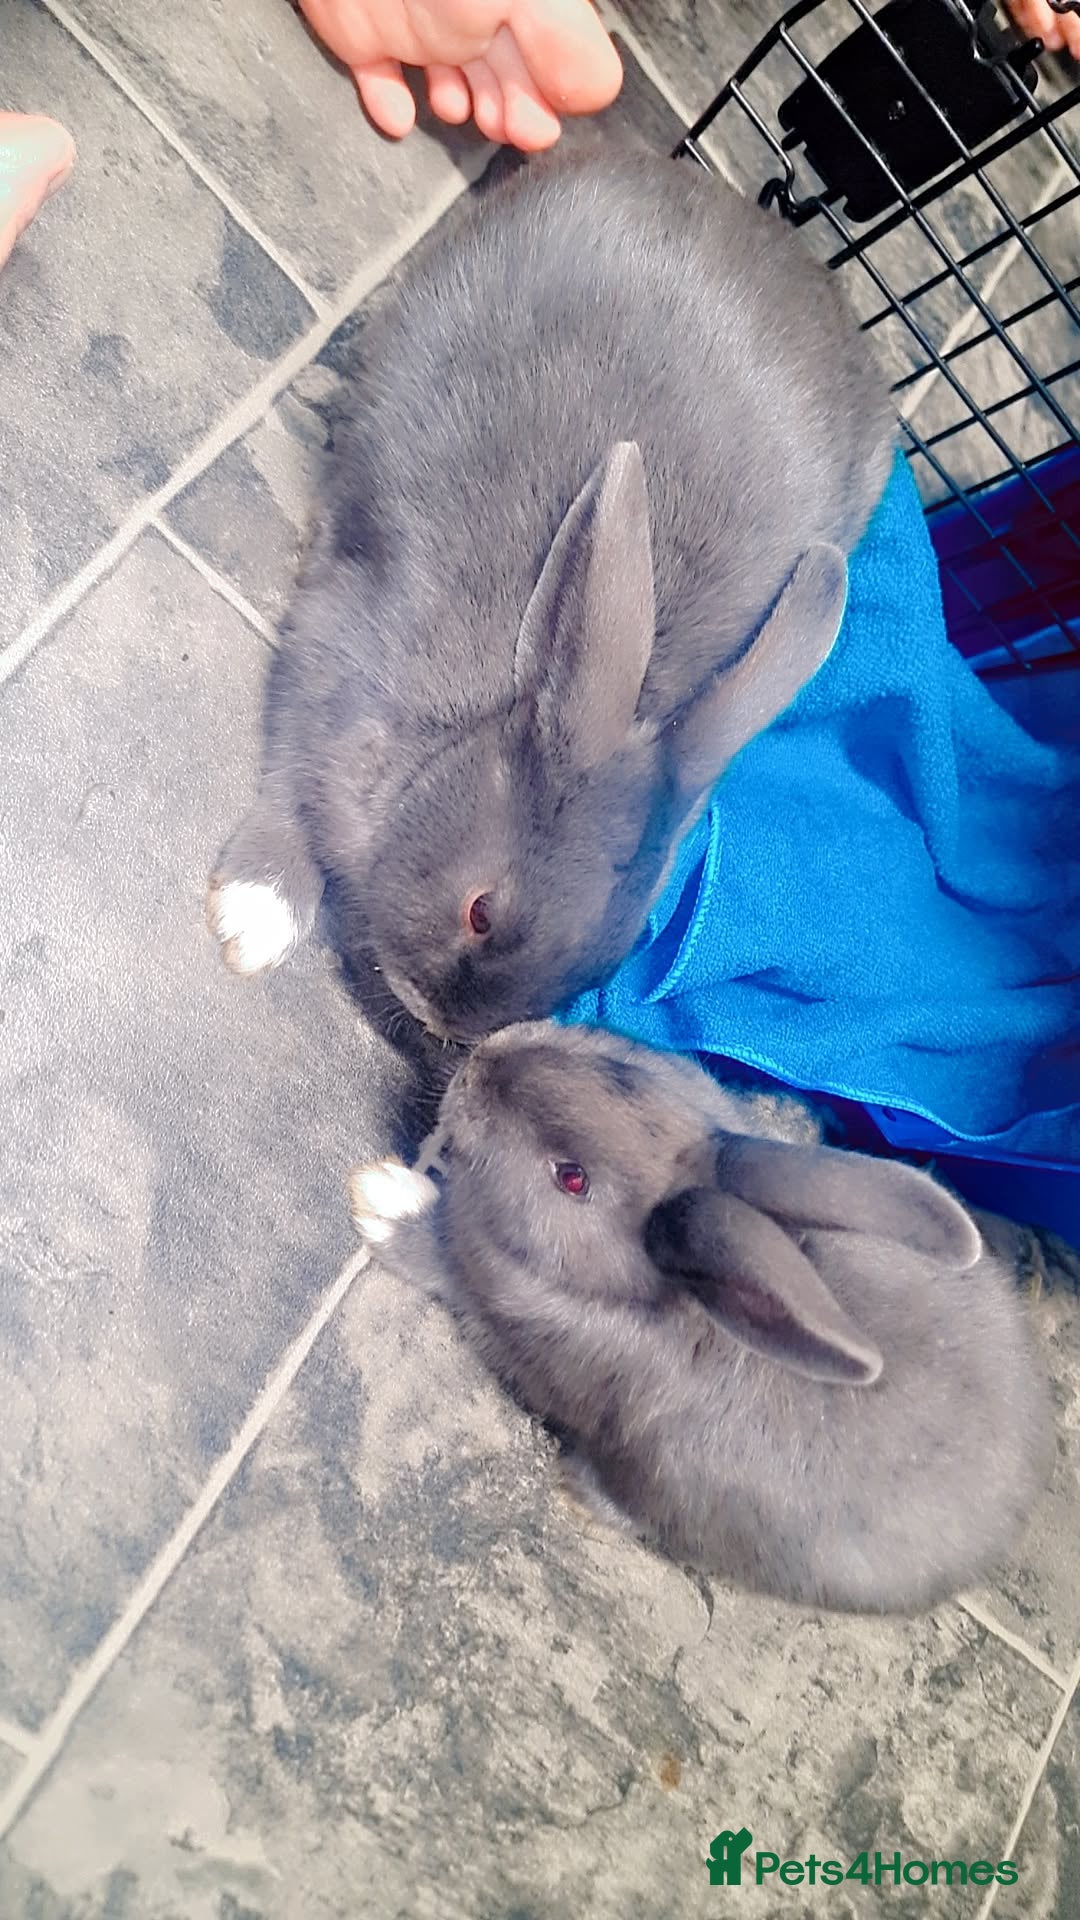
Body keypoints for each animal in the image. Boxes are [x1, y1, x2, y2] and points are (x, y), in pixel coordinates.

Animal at [207, 146, 896, 1042]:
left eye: (611, 961)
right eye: (481, 911)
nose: (443, 1021)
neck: (474, 730)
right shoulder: (330, 660)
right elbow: (289, 787)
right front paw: (253, 918)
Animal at [347, 1022, 1052, 1615]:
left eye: (572, 1179)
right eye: (620, 1074)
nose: (482, 1061)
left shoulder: (479, 1289)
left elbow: (432, 1250)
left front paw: (380, 1195)